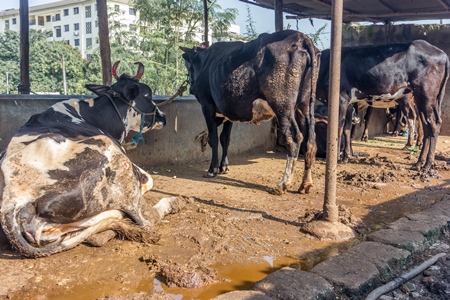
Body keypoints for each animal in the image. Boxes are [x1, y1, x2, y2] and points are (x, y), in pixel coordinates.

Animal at [0, 62, 185, 256]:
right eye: (148, 95)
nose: (163, 117)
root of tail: (11, 199)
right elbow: (148, 179)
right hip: (113, 157)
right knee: (146, 218)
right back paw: (173, 202)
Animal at [179, 29, 320, 195]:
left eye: (188, 65)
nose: (191, 87)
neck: (205, 62)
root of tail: (300, 37)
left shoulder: (207, 105)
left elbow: (214, 137)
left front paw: (212, 169)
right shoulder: (229, 111)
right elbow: (225, 138)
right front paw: (224, 167)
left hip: (283, 106)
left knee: (295, 138)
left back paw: (283, 184)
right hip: (304, 105)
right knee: (310, 141)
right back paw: (305, 184)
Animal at [318, 39, 448, 171]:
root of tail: (442, 53)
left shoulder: (341, 99)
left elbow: (337, 128)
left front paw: (336, 157)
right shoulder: (350, 103)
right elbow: (347, 129)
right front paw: (346, 156)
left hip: (425, 95)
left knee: (433, 124)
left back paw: (426, 165)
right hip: (421, 99)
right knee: (426, 126)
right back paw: (418, 163)